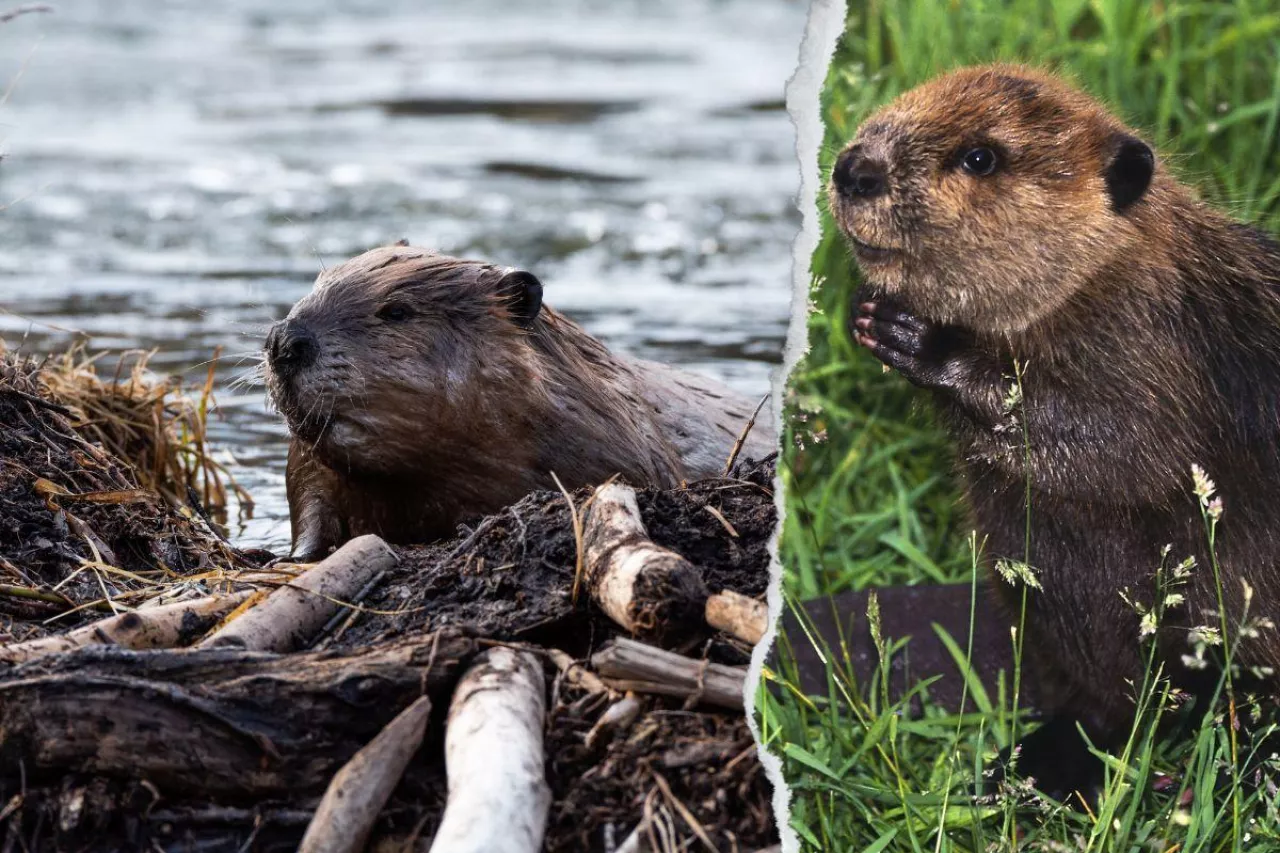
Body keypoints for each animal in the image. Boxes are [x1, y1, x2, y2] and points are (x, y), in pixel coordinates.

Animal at [824, 61, 1280, 799]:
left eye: (980, 157)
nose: (855, 169)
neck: (1106, 270)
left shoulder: (1151, 341)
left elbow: (1125, 445)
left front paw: (917, 337)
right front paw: (870, 314)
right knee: (1105, 698)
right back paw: (1031, 765)